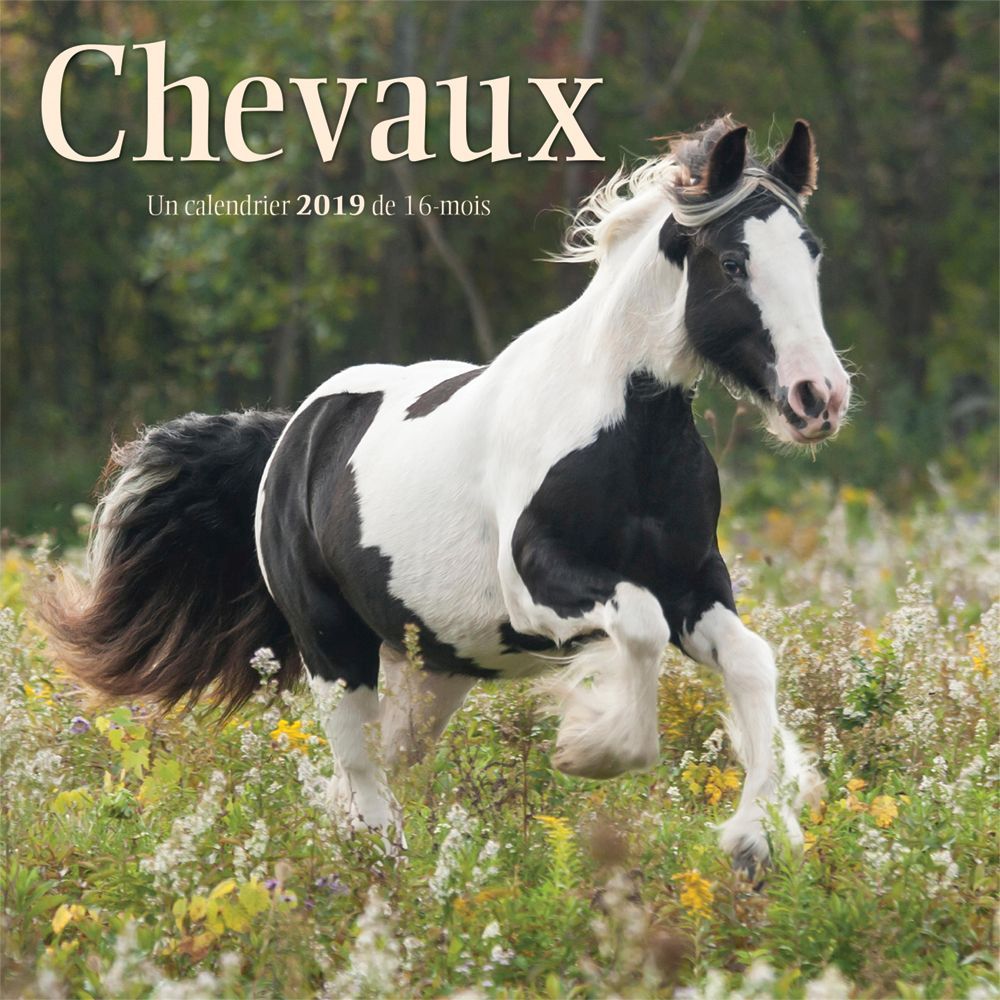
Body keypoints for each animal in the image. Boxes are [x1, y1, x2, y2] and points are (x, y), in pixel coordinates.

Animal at [41, 116, 851, 873]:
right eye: (734, 261)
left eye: (811, 251)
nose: (818, 397)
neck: (624, 435)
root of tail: (289, 435)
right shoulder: (541, 587)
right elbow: (641, 632)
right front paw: (596, 747)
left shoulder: (696, 584)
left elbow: (752, 663)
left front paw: (753, 840)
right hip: (334, 650)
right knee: (361, 771)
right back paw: (382, 873)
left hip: (430, 672)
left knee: (367, 771)